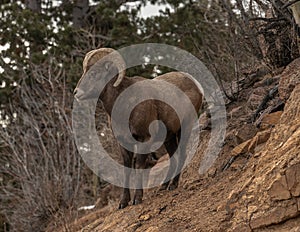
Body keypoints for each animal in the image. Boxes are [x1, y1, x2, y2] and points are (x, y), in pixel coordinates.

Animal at [74, 47, 203, 208]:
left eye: (94, 73)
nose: (76, 93)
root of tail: (196, 85)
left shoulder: (144, 139)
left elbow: (139, 166)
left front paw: (137, 199)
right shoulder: (123, 143)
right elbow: (127, 169)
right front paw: (123, 202)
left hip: (185, 127)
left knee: (182, 154)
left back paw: (173, 185)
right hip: (169, 137)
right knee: (173, 156)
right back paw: (163, 186)